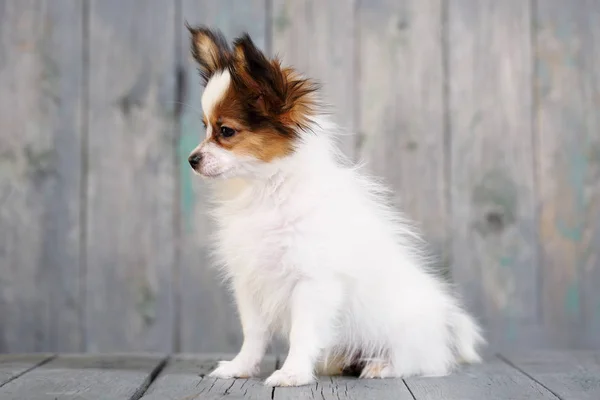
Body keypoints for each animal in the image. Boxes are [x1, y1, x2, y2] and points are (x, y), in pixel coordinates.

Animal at [185, 25, 486, 388]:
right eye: (205, 128)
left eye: (226, 131)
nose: (192, 160)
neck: (266, 189)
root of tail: (443, 324)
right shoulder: (250, 281)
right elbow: (253, 333)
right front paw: (240, 367)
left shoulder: (312, 283)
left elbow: (302, 333)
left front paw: (292, 373)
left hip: (404, 333)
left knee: (421, 361)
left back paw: (381, 366)